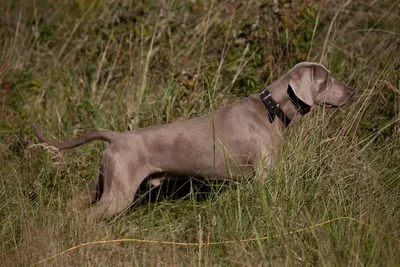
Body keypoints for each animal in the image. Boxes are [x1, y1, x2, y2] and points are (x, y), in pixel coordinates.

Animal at [32, 62, 354, 220]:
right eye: (327, 79)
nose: (352, 91)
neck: (271, 108)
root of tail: (116, 136)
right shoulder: (264, 174)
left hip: (104, 183)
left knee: (75, 206)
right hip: (118, 194)